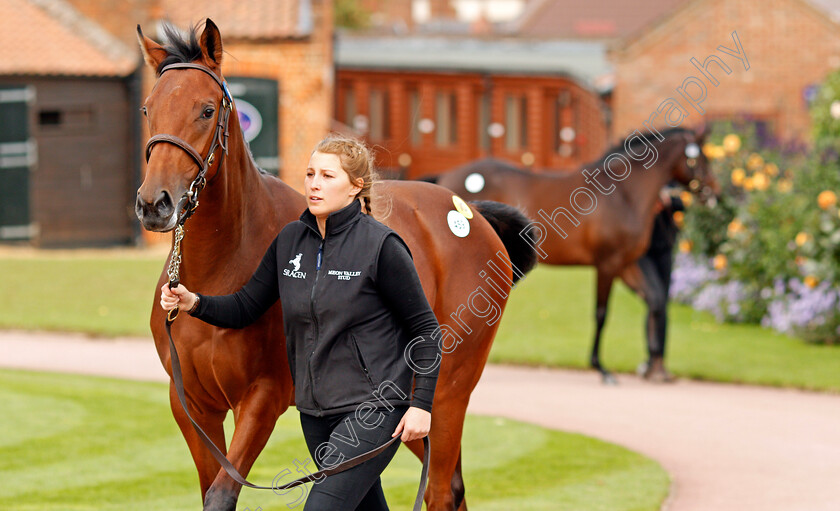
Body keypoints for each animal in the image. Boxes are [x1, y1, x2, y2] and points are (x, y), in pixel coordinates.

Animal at [135, 20, 536, 511]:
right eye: (148, 108)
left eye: (207, 110)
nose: (155, 203)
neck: (222, 265)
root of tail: (470, 212)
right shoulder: (191, 405)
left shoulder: (262, 398)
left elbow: (222, 494)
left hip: (446, 395)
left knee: (440, 489)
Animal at [430, 128, 720, 384]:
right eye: (698, 159)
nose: (713, 195)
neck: (623, 193)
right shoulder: (607, 264)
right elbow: (601, 313)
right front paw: (602, 369)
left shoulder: (626, 264)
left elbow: (655, 301)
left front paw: (651, 368)